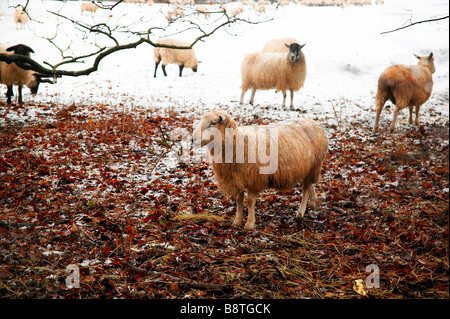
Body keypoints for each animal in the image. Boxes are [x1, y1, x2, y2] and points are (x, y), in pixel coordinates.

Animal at [192, 110, 328, 230]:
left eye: (213, 123)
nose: (193, 139)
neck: (240, 143)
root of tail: (312, 121)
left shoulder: (254, 178)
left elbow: (250, 202)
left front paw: (250, 224)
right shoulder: (236, 178)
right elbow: (239, 200)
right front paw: (237, 221)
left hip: (314, 166)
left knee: (306, 189)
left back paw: (300, 212)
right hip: (308, 168)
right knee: (309, 185)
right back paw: (313, 202)